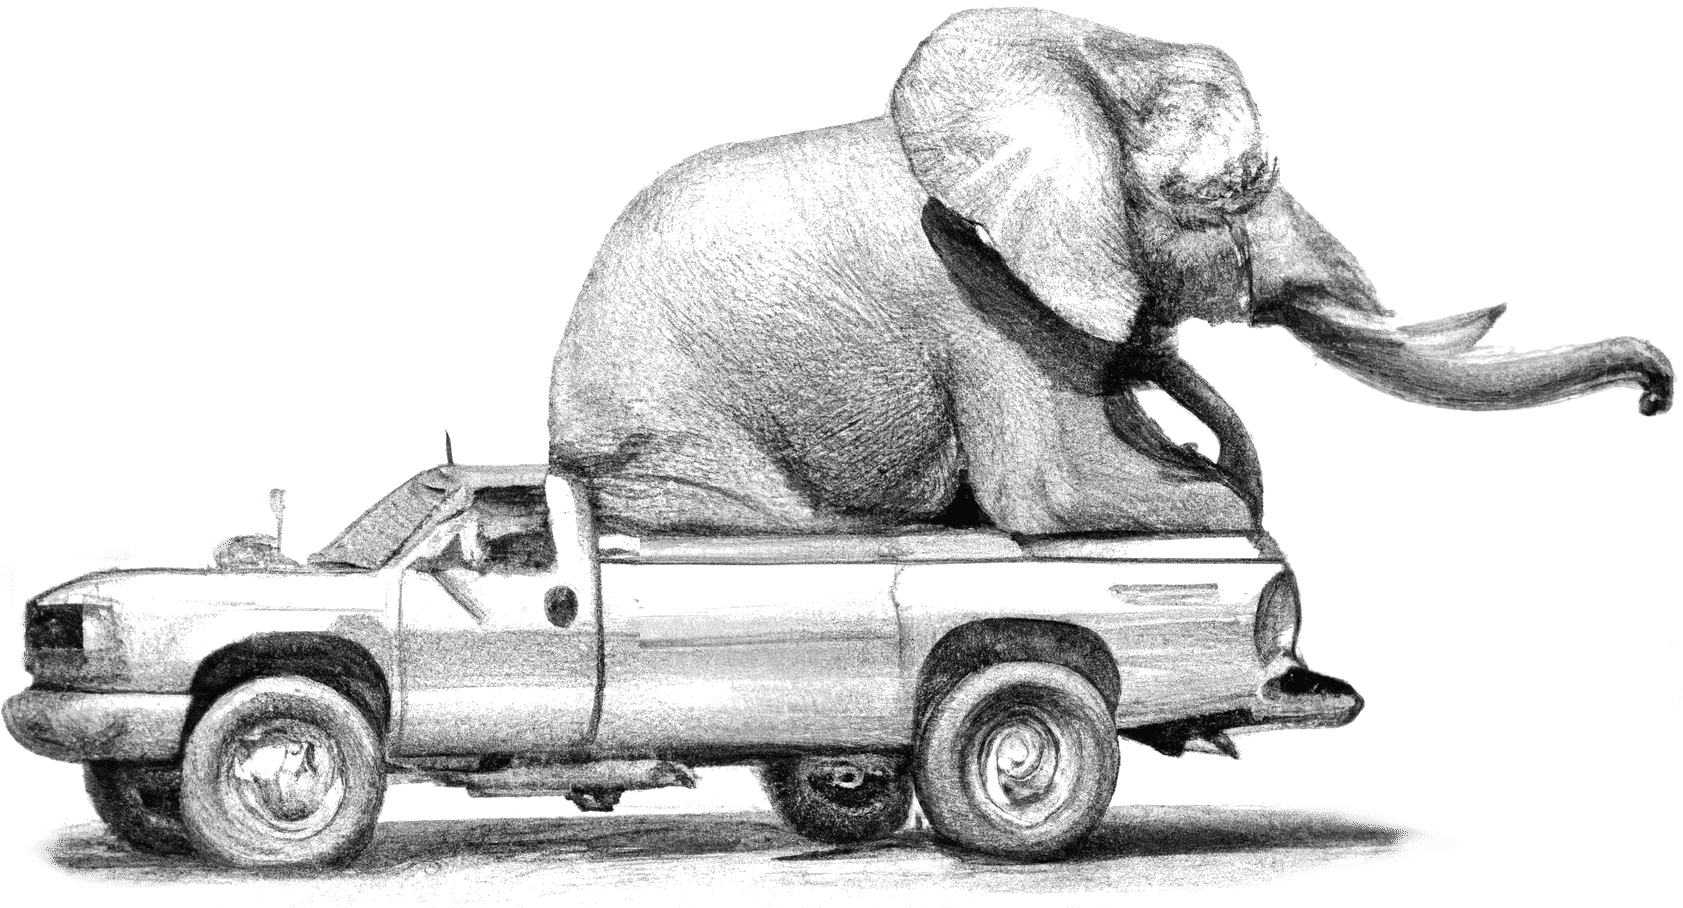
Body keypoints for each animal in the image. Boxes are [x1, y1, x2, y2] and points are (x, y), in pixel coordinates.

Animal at [548, 7, 1673, 545]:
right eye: (1227, 191)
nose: (1657, 392)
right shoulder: (982, 301)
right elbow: (1053, 494)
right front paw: (1216, 497)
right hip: (672, 445)